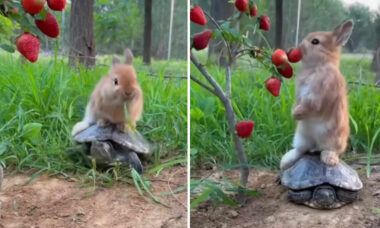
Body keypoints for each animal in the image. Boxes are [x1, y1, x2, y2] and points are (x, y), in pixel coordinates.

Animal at [280, 20, 354, 170]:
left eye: (315, 41)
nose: (293, 49)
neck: (316, 67)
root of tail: (316, 144)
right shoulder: (299, 95)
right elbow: (298, 103)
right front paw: (295, 114)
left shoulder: (319, 96)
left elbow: (311, 106)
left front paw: (297, 114)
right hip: (302, 136)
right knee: (301, 149)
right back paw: (285, 162)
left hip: (332, 138)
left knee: (329, 150)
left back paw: (329, 159)